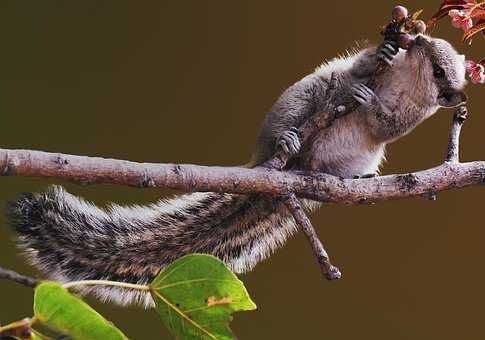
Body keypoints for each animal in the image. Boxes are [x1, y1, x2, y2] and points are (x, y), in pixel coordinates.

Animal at [8, 33, 466, 306]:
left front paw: (371, 103)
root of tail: (277, 171)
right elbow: (359, 67)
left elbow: (385, 123)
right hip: (304, 96)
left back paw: (350, 177)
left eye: (440, 70)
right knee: (309, 110)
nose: (417, 38)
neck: (402, 81)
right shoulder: (358, 69)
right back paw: (289, 140)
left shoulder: (403, 119)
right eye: (428, 43)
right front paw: (380, 55)